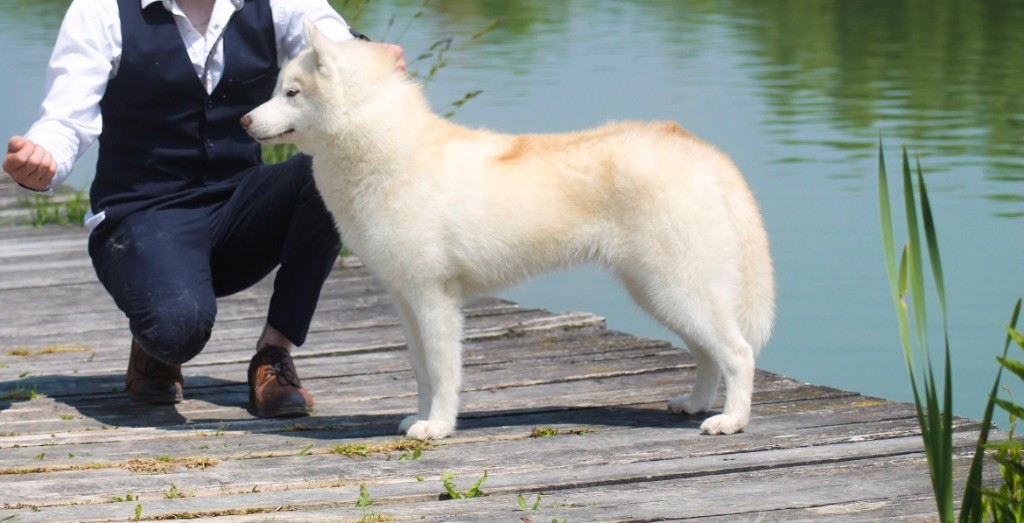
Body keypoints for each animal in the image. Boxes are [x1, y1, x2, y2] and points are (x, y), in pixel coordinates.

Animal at [243, 26, 774, 440]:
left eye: (292, 93)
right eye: (276, 89)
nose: (245, 119)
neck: (387, 151)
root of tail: (702, 150)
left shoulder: (434, 298)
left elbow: (443, 371)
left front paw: (438, 427)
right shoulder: (407, 300)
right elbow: (420, 370)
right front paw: (419, 417)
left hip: (675, 289)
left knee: (738, 354)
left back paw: (730, 421)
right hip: (663, 293)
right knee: (709, 354)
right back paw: (696, 403)